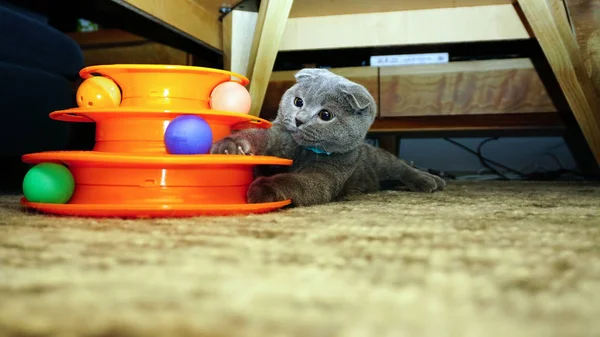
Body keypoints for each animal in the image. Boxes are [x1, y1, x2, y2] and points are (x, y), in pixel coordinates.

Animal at [211, 67, 446, 205]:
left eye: (325, 115)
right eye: (298, 102)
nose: (299, 120)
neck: (304, 151)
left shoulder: (328, 173)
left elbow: (298, 182)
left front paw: (263, 188)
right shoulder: (282, 136)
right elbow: (262, 137)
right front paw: (231, 147)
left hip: (380, 160)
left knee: (402, 167)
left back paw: (430, 180)